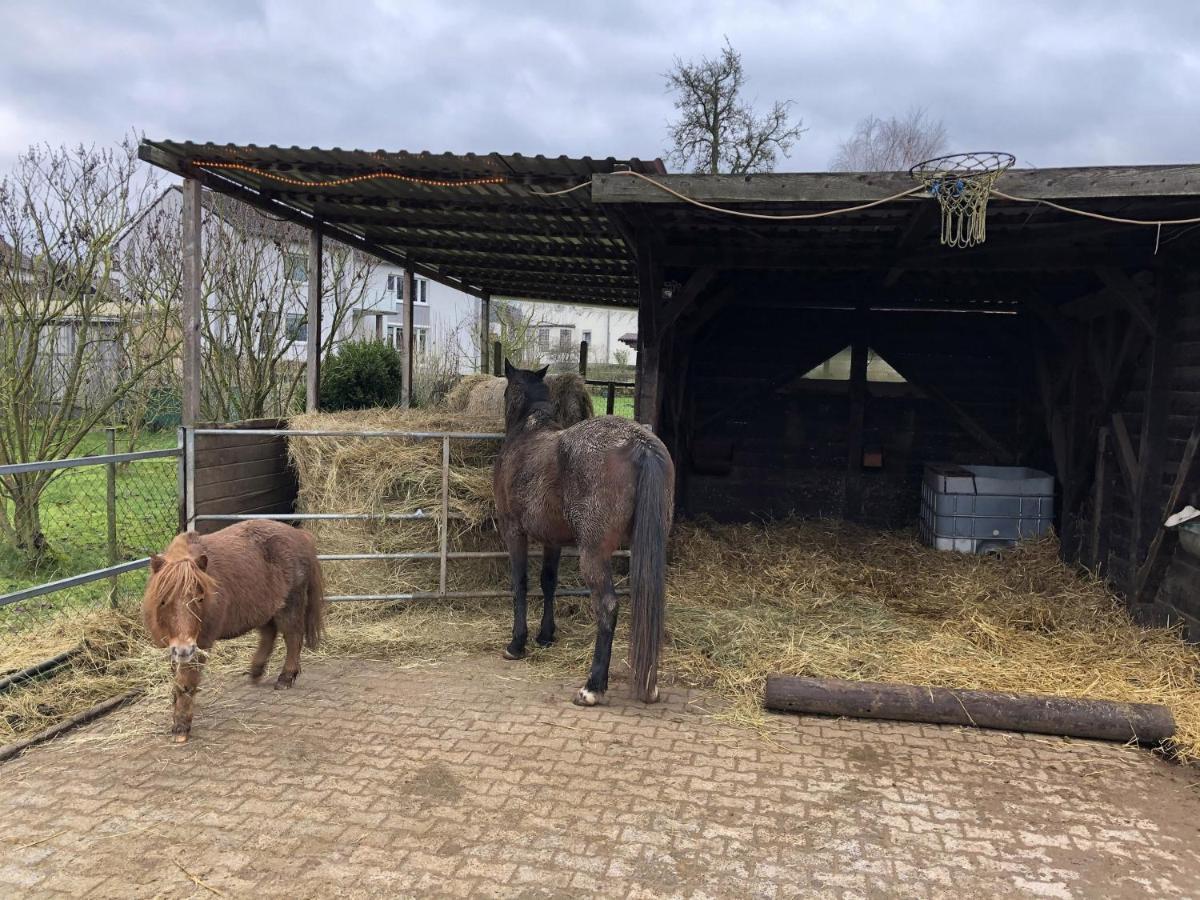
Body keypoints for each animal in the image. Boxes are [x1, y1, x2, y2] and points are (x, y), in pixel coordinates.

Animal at [141, 518, 326, 744]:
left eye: (200, 599)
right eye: (163, 600)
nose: (185, 650)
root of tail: (300, 535)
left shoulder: (199, 645)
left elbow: (186, 682)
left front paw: (181, 726)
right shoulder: (174, 646)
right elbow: (176, 677)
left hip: (290, 604)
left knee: (293, 638)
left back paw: (285, 678)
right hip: (263, 608)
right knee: (269, 634)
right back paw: (256, 671)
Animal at [489, 362, 676, 710]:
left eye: (506, 390)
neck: (529, 432)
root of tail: (639, 443)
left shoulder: (513, 531)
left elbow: (520, 583)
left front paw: (517, 644)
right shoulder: (552, 540)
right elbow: (548, 582)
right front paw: (546, 635)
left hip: (594, 553)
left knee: (607, 606)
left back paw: (592, 687)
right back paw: (649, 685)